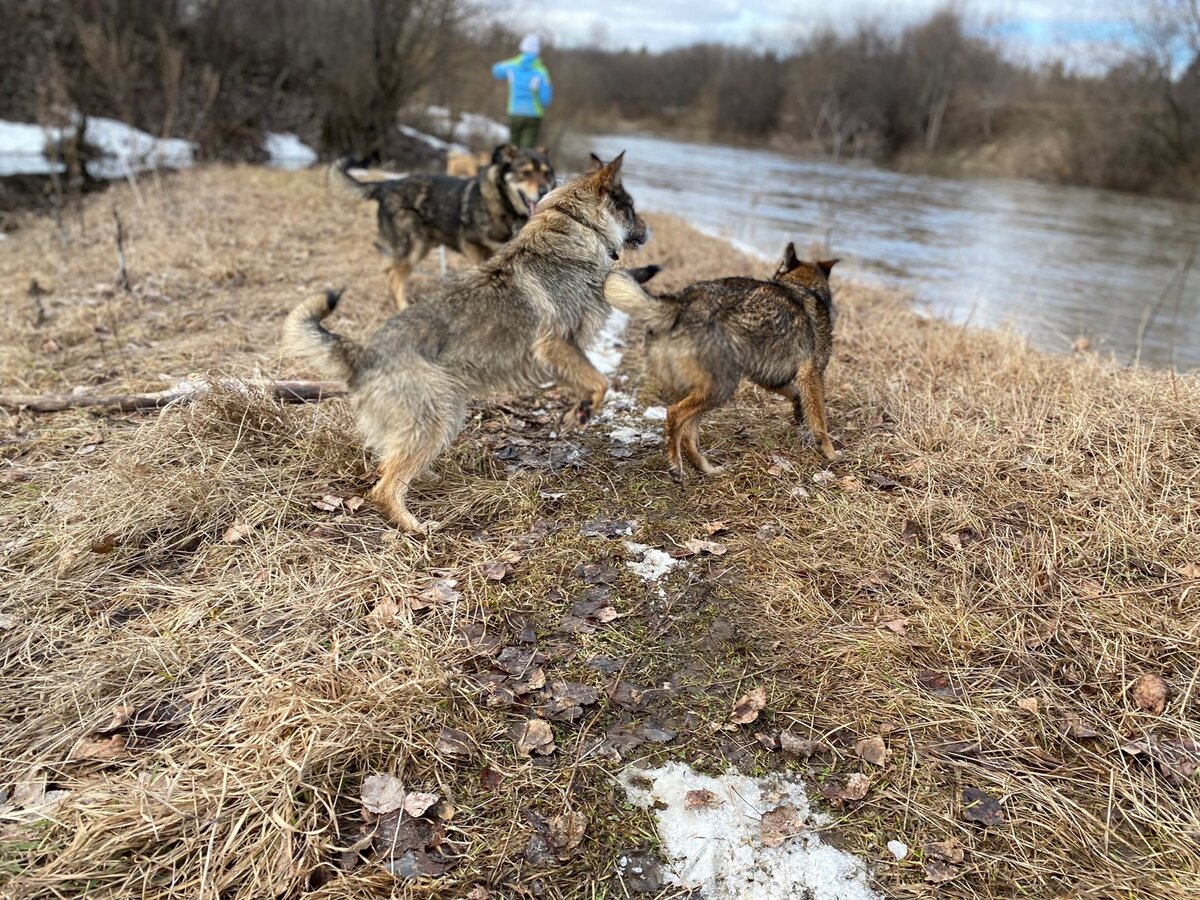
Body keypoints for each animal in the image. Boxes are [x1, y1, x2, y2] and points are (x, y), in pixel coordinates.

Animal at [284, 154, 648, 532]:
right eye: (631, 207)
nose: (647, 230)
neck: (576, 225)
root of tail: (360, 354)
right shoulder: (555, 344)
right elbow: (600, 382)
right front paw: (583, 413)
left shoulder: (563, 352)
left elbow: (588, 380)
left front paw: (577, 410)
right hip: (435, 417)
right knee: (384, 488)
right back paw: (414, 526)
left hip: (447, 412)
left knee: (391, 463)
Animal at [604, 240, 840, 480]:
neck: (802, 286)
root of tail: (680, 304)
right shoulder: (812, 374)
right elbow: (820, 422)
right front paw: (830, 453)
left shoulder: (768, 377)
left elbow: (796, 396)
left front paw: (800, 412)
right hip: (721, 389)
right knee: (674, 415)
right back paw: (676, 465)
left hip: (701, 390)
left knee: (687, 435)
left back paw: (706, 468)